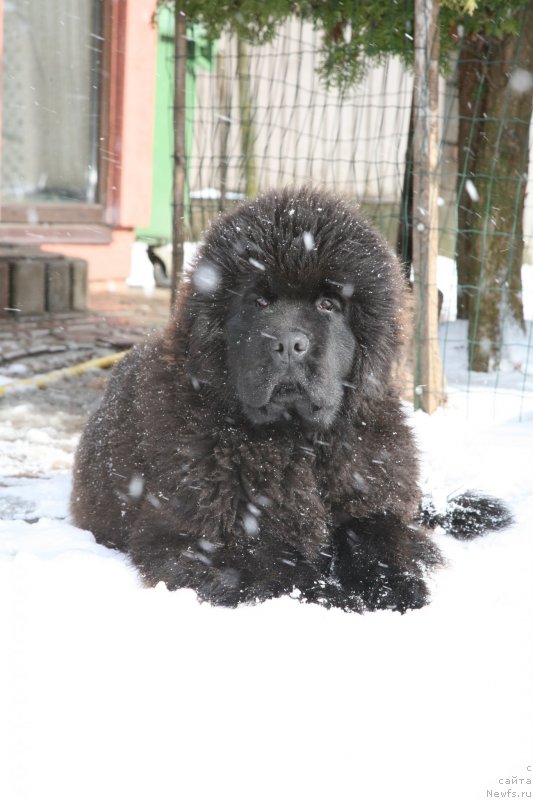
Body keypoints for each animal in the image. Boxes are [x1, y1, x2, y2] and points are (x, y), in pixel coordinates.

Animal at [71, 188, 512, 612]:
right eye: (258, 302)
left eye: (328, 304)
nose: (287, 343)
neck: (300, 443)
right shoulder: (193, 536)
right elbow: (279, 567)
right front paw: (339, 596)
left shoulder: (370, 491)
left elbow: (378, 533)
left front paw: (395, 588)